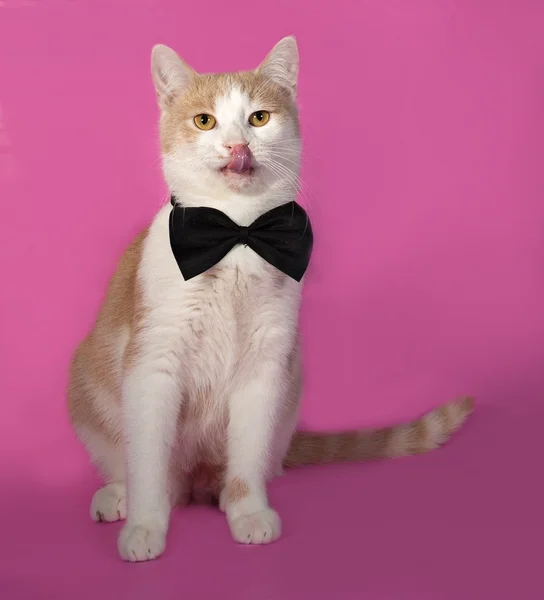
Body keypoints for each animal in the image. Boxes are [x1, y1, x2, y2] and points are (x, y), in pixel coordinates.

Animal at [68, 36, 474, 564]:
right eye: (205, 121)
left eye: (259, 118)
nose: (238, 145)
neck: (238, 235)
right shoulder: (153, 363)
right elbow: (149, 461)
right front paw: (145, 525)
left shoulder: (267, 363)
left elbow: (248, 453)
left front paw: (248, 512)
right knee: (138, 466)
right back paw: (118, 496)